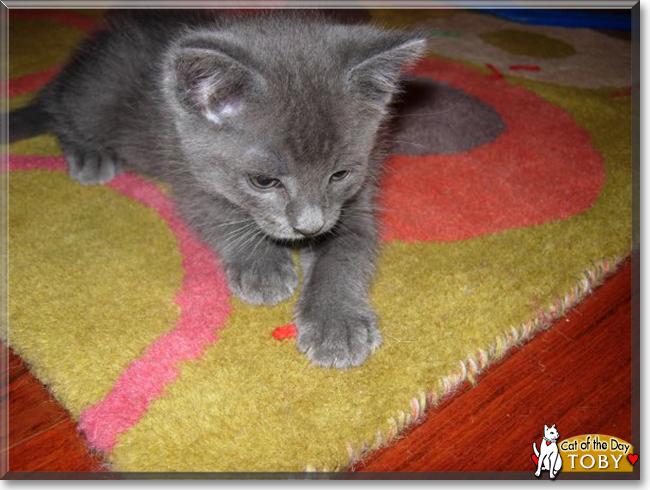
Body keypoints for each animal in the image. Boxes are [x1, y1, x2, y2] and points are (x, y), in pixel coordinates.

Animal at [11, 10, 426, 368]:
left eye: (339, 175)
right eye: (264, 181)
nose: (308, 227)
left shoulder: (357, 198)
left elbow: (346, 253)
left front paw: (335, 323)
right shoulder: (187, 173)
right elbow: (223, 218)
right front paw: (262, 266)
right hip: (97, 99)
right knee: (61, 113)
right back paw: (89, 154)